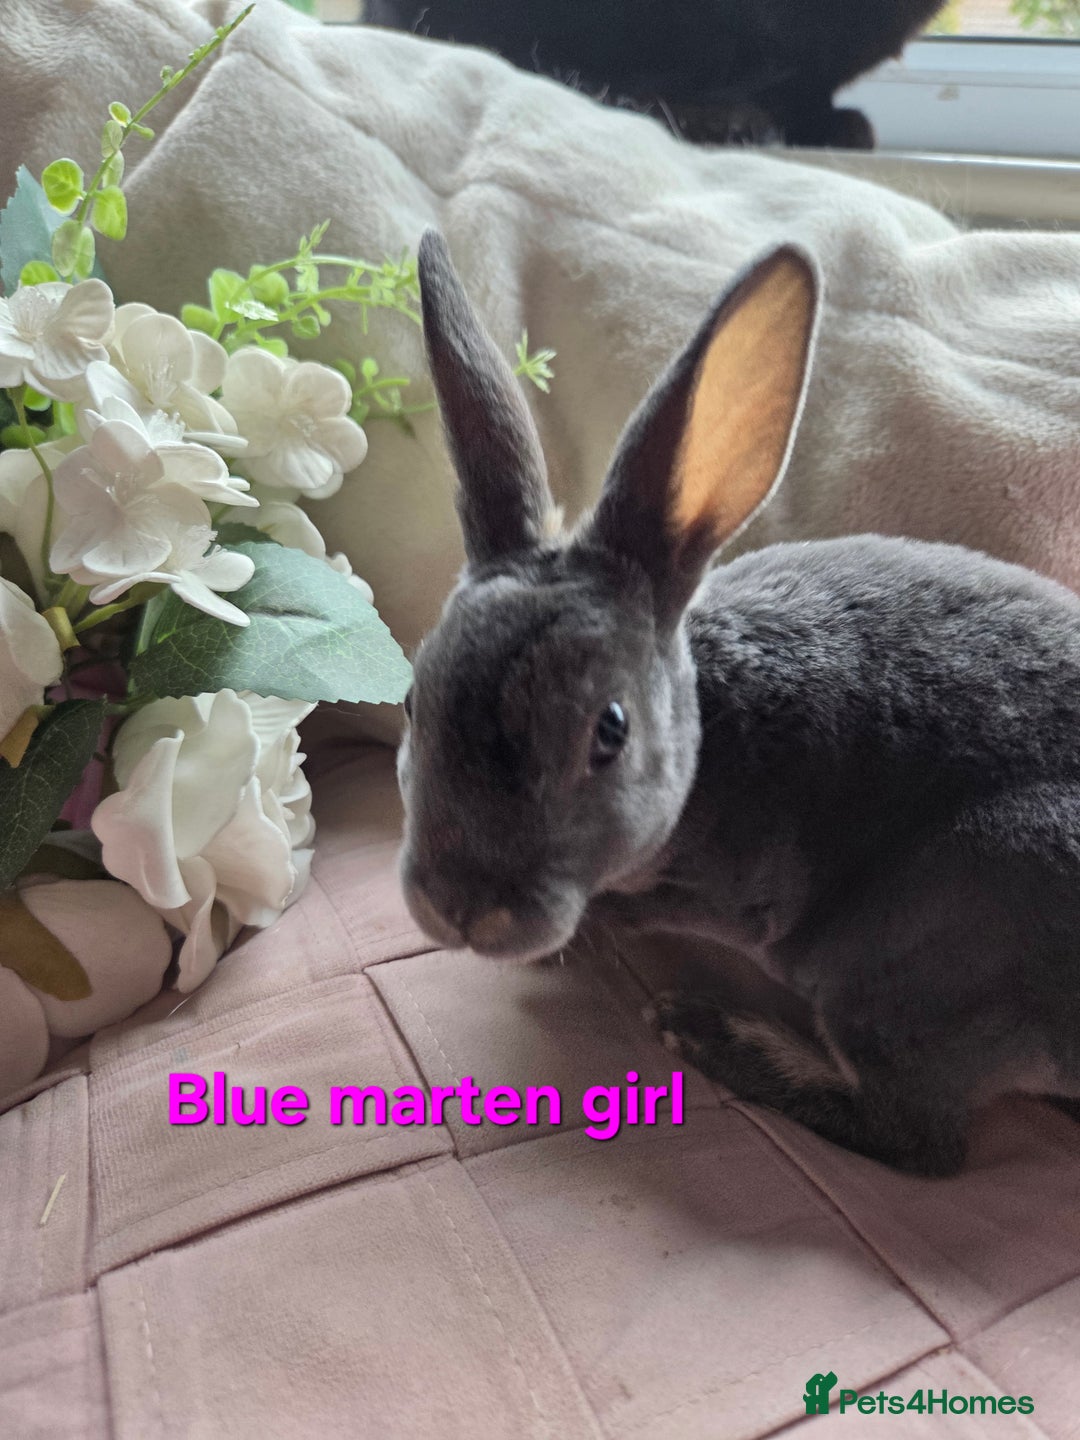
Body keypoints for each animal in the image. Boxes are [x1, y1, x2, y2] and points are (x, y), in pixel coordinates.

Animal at [397, 229, 1080, 1177]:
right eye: (410, 702)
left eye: (609, 733)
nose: (458, 909)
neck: (708, 728)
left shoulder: (735, 891)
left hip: (937, 937)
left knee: (919, 1140)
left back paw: (716, 1035)